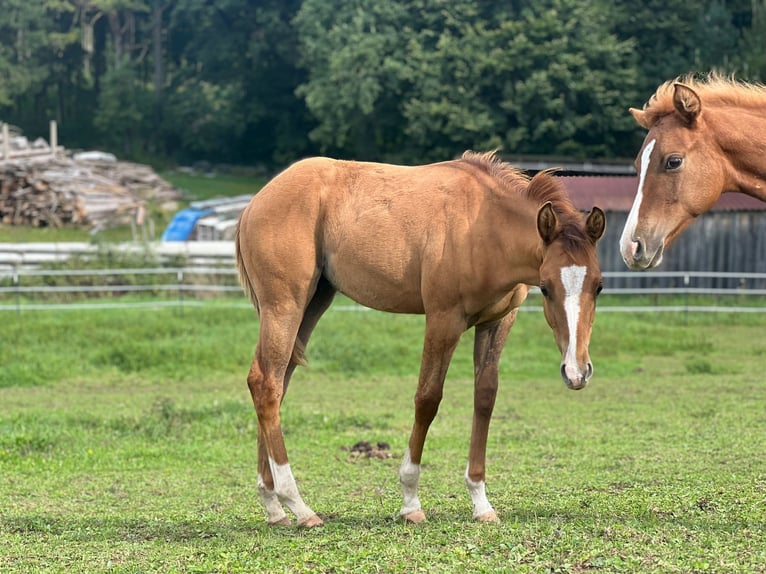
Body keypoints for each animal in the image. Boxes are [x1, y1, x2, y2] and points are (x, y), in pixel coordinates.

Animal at [234, 151, 608, 528]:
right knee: (266, 384)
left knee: (277, 383)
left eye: (599, 286)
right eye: (545, 287)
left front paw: (481, 502)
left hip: (313, 302)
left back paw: (274, 505)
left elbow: (485, 397)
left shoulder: (497, 322)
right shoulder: (444, 319)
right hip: (285, 306)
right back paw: (298, 505)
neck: (483, 225)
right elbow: (427, 398)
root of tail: (257, 202)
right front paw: (410, 501)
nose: (576, 372)